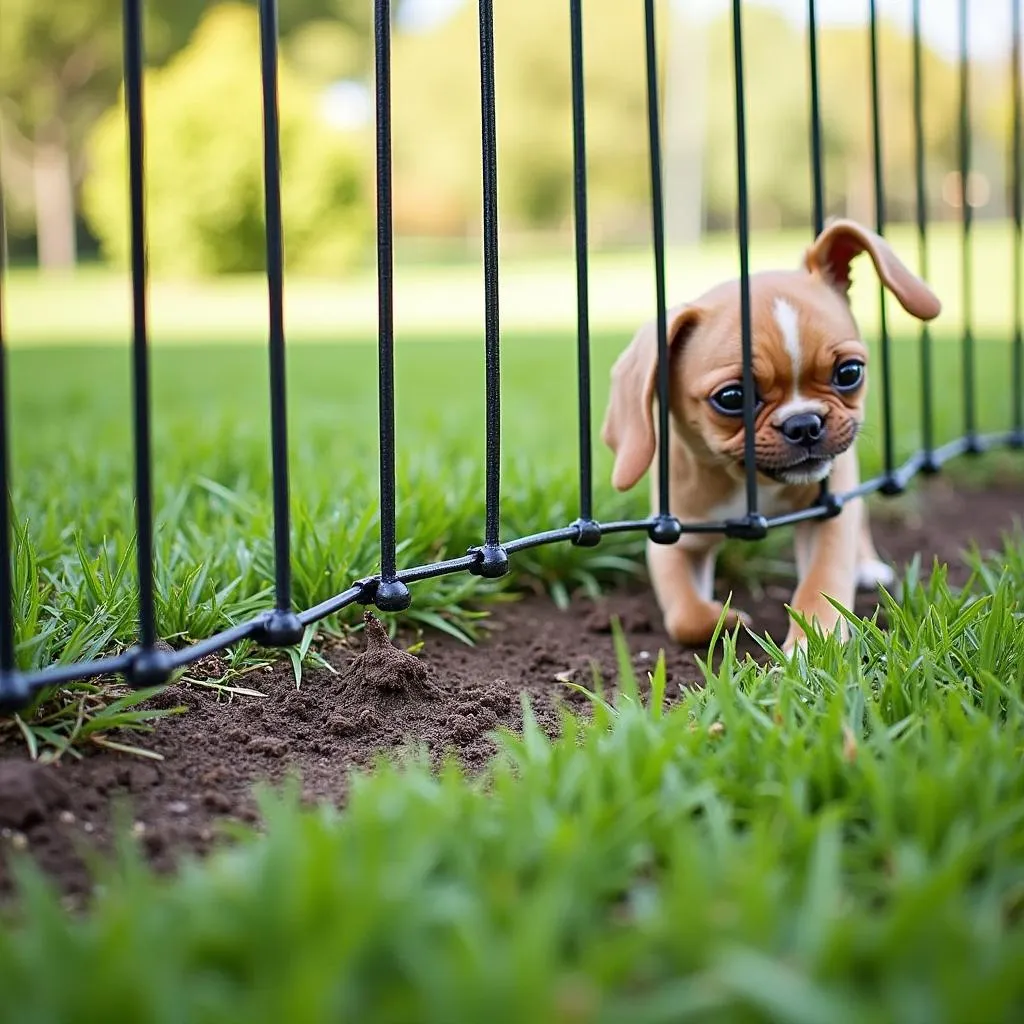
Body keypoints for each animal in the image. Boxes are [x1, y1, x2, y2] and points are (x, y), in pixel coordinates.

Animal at [598, 220, 942, 651]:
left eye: (849, 373)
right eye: (731, 398)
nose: (804, 423)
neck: (754, 485)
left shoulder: (828, 514)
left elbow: (820, 583)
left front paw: (811, 644)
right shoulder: (676, 539)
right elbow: (685, 616)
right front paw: (723, 618)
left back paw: (865, 565)